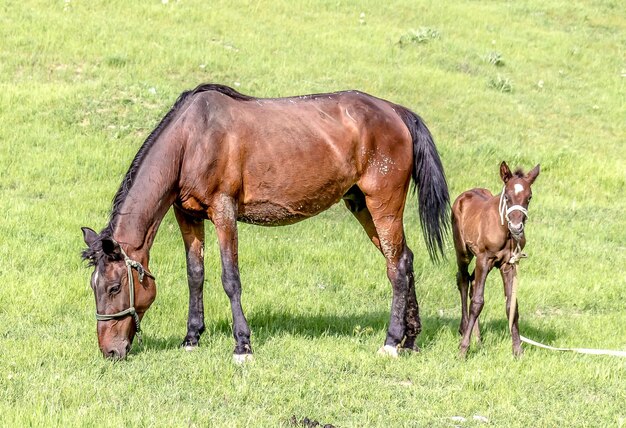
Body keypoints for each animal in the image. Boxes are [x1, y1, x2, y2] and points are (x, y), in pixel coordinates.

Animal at [80, 83, 448, 362]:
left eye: (114, 288)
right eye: (94, 288)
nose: (109, 352)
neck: (191, 139)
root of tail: (395, 112)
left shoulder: (224, 212)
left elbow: (230, 279)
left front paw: (242, 346)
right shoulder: (188, 215)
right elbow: (195, 275)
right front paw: (191, 338)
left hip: (383, 205)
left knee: (396, 268)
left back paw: (391, 341)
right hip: (361, 206)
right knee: (403, 259)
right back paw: (410, 339)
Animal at [450, 161, 540, 358]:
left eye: (529, 197)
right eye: (507, 196)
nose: (517, 227)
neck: (505, 232)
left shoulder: (509, 264)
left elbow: (511, 305)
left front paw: (518, 350)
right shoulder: (484, 258)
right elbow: (477, 302)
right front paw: (463, 349)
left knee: (472, 282)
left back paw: (478, 338)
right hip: (464, 252)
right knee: (463, 280)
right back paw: (464, 329)